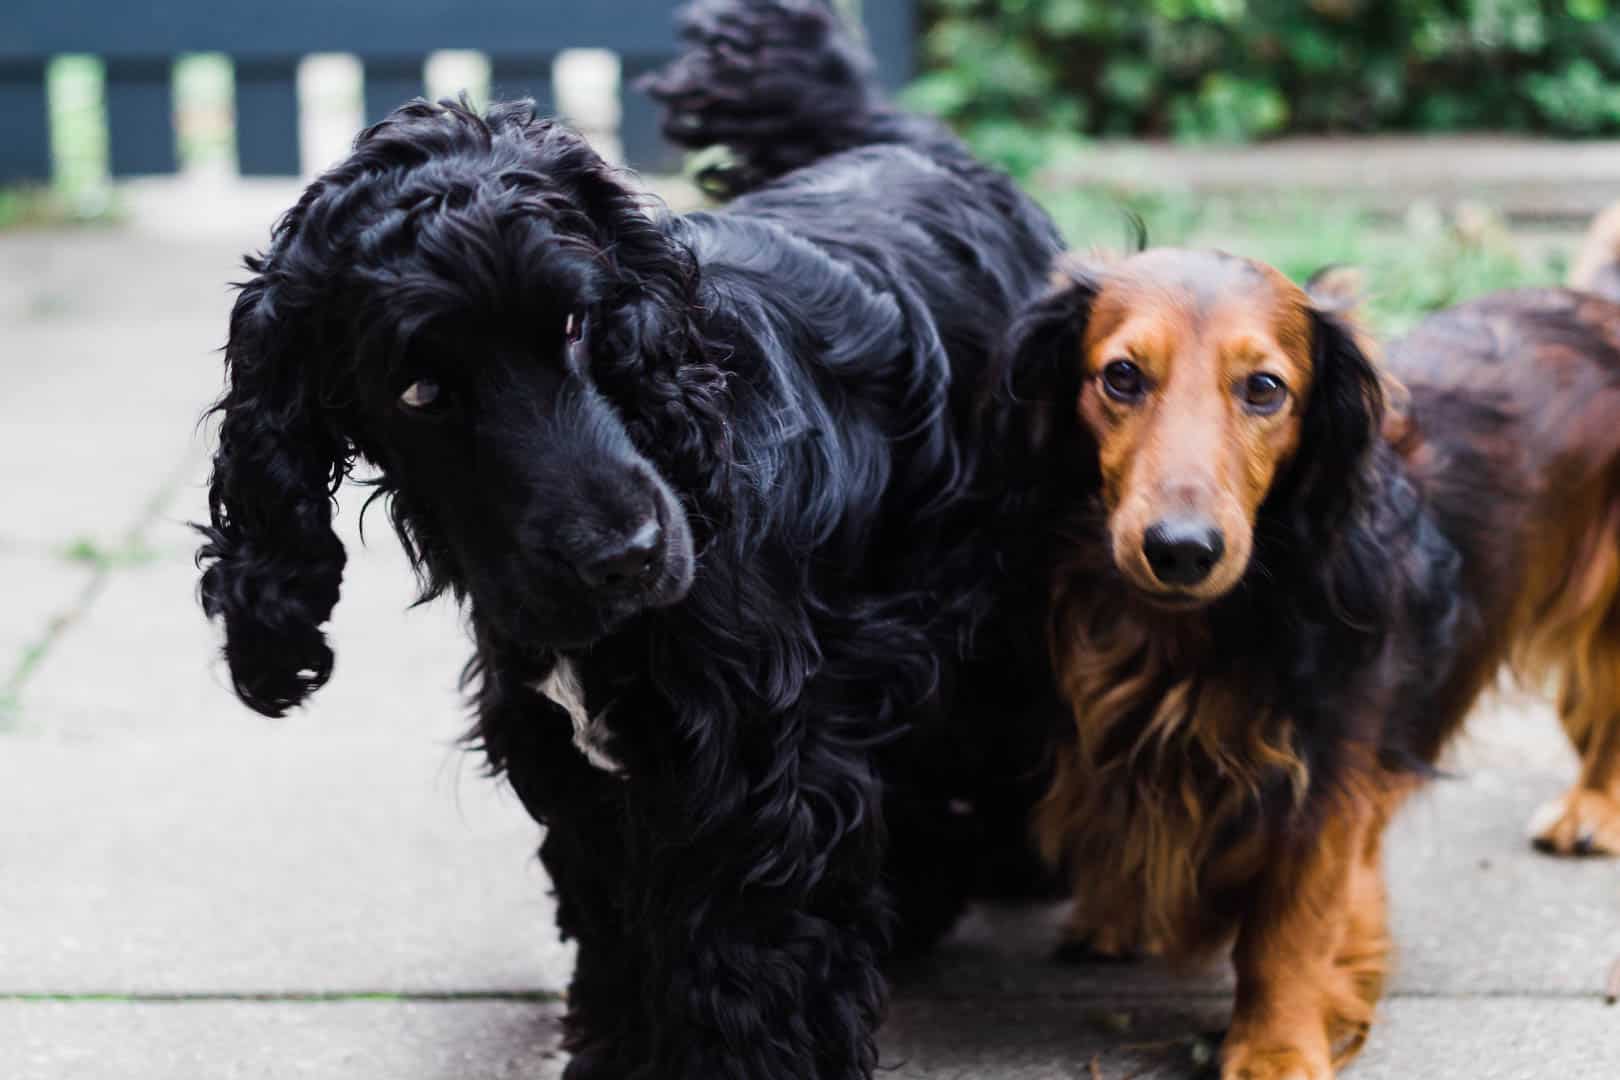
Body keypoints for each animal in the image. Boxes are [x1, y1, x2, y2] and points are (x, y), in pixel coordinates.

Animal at [991, 216, 1620, 1075]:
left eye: (1264, 388)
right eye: (1120, 376)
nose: (1180, 550)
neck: (1185, 635)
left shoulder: (1326, 778)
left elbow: (1288, 931)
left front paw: (1276, 1049)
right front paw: (1115, 914)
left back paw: (1594, 807)